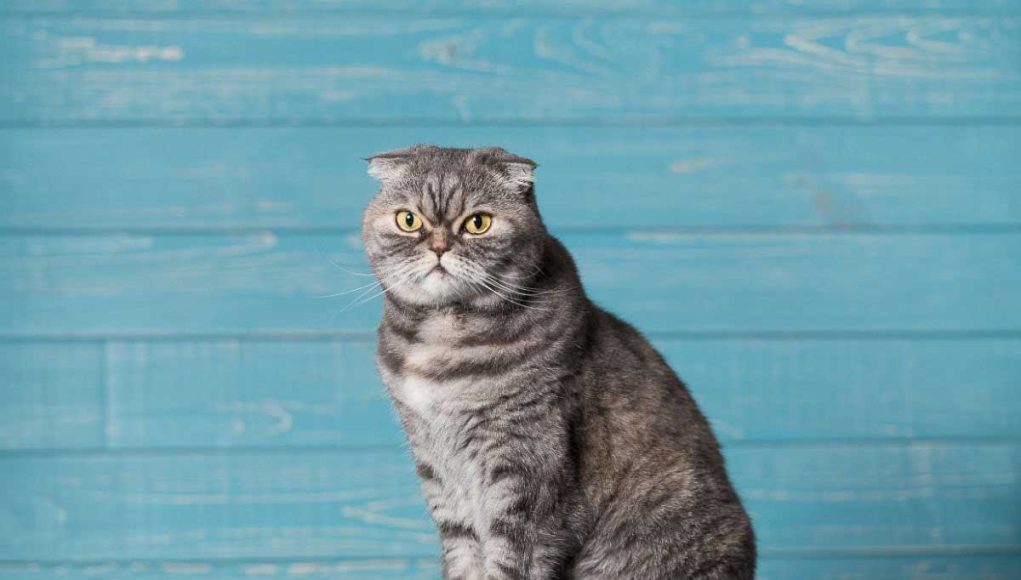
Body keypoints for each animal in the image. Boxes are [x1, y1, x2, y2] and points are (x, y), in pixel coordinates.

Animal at [363, 145, 755, 580]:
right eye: (408, 220)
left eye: (478, 223)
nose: (438, 247)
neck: (442, 340)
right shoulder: (439, 472)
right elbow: (464, 560)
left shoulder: (529, 474)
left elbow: (510, 562)